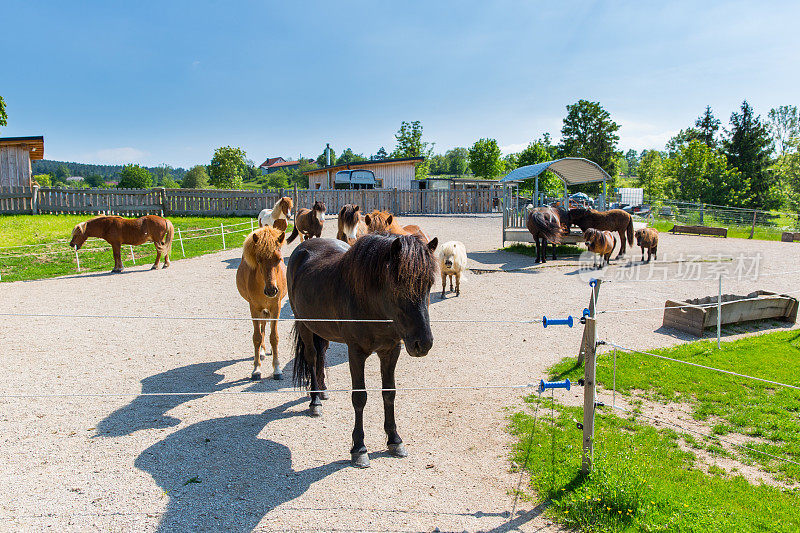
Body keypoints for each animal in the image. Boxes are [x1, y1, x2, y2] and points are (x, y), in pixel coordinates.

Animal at [234, 222, 288, 380]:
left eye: (279, 259)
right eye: (258, 260)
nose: (271, 291)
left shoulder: (276, 307)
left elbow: (274, 337)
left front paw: (277, 369)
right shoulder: (254, 307)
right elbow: (257, 337)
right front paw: (256, 369)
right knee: (262, 327)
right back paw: (262, 351)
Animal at [286, 233, 438, 466]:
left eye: (429, 284)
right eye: (398, 284)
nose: (423, 343)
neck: (372, 304)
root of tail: (305, 246)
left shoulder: (391, 351)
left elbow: (389, 393)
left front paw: (394, 440)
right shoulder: (356, 353)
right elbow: (360, 397)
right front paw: (359, 448)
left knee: (321, 354)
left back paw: (323, 391)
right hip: (304, 325)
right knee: (312, 357)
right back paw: (315, 401)